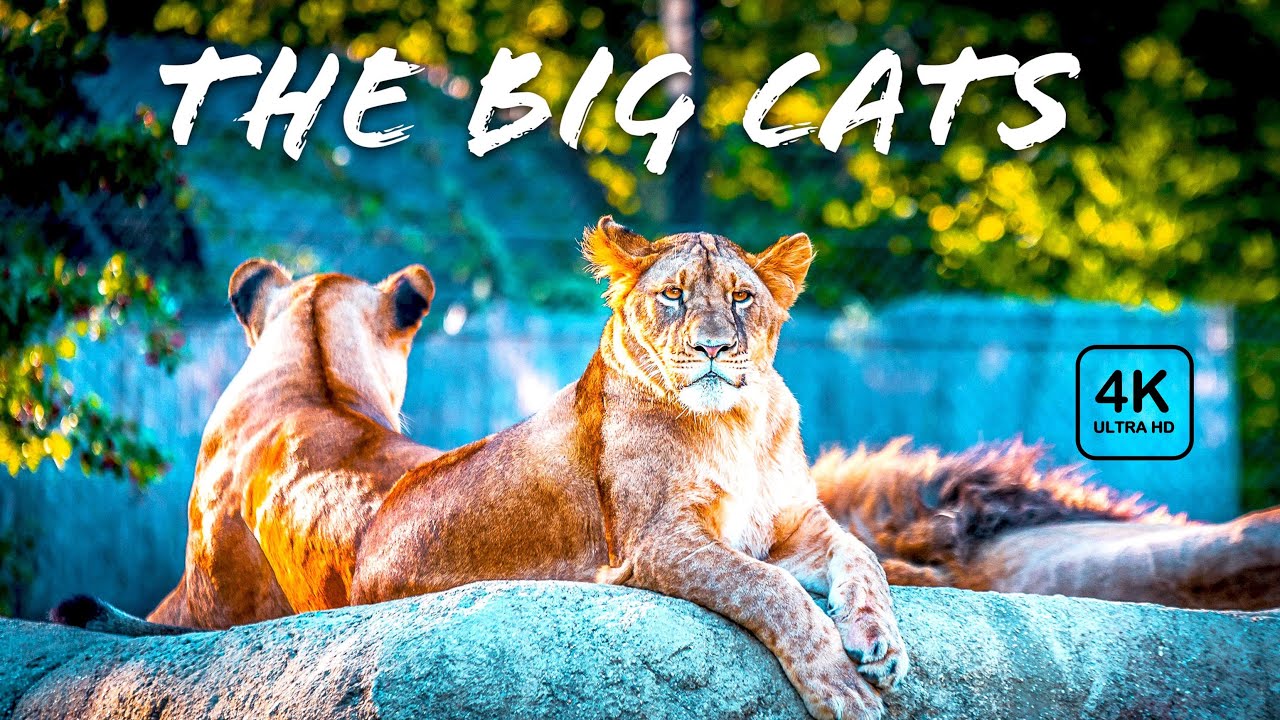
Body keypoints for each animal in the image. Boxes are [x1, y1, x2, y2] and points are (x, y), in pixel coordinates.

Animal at [350, 217, 907, 720]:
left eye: (742, 297)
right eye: (673, 294)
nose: (713, 347)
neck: (736, 422)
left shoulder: (792, 524)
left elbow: (862, 556)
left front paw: (881, 644)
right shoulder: (658, 541)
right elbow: (770, 588)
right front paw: (842, 688)